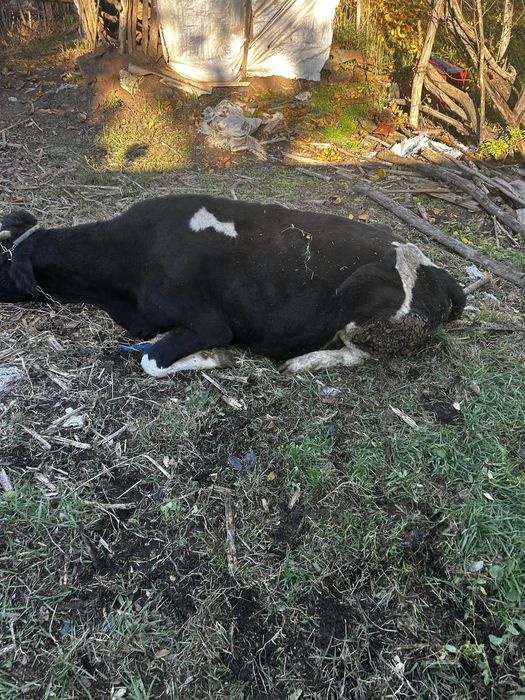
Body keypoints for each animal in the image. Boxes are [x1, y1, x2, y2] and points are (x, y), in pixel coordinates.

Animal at [0, 195, 465, 376]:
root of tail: (441, 273)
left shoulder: (209, 324)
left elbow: (150, 360)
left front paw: (216, 358)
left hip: (363, 304)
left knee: (362, 354)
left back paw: (303, 362)